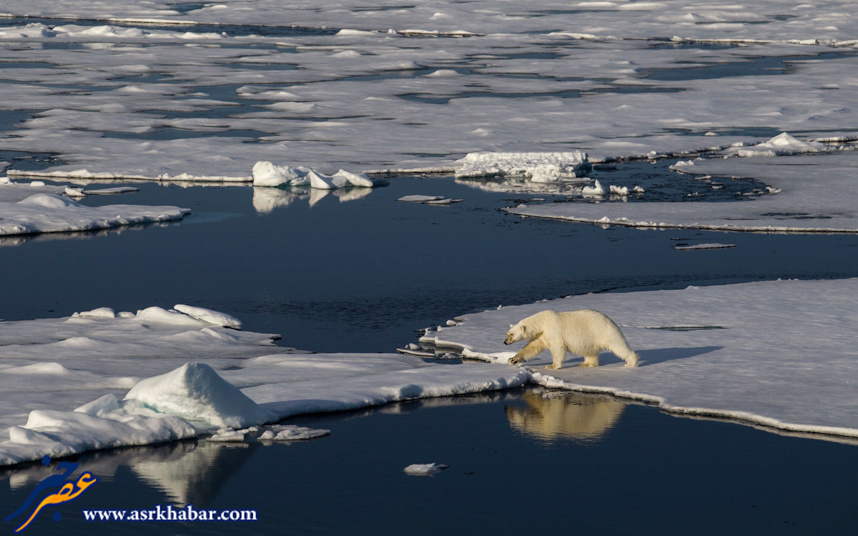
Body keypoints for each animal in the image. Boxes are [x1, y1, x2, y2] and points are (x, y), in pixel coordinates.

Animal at [502, 310, 636, 368]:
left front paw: (551, 366)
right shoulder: (541, 335)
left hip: (604, 332)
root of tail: (611, 320)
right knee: (589, 351)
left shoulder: (553, 330)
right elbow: (532, 348)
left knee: (618, 346)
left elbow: (557, 348)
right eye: (507, 333)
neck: (542, 322)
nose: (505, 342)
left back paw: (631, 363)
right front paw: (513, 359)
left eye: (511, 334)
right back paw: (585, 364)